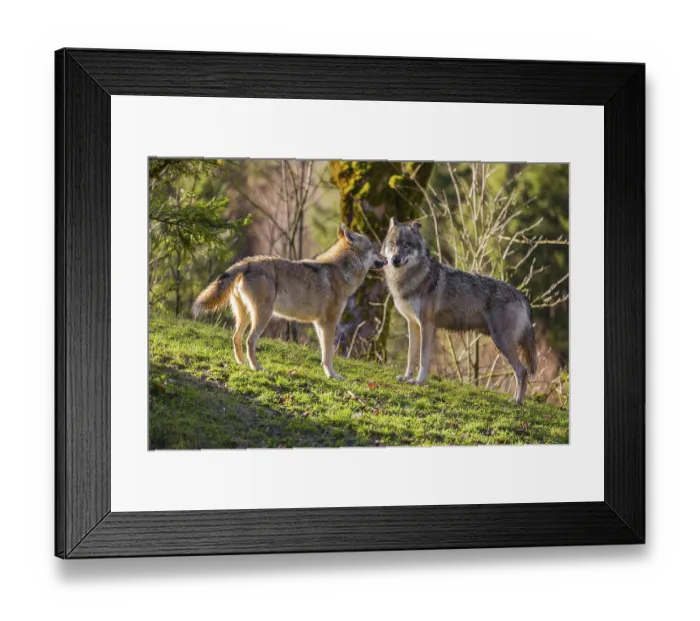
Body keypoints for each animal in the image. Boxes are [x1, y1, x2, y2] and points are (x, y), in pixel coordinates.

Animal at [192, 223, 386, 379]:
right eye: (374, 248)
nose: (387, 258)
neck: (342, 271)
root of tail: (247, 262)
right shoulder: (329, 323)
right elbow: (329, 354)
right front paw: (333, 375)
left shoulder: (319, 324)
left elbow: (323, 354)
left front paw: (327, 373)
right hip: (263, 316)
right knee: (250, 340)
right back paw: (256, 367)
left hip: (246, 316)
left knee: (236, 337)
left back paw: (242, 363)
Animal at [382, 219, 538, 404]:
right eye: (393, 244)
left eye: (407, 245)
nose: (395, 260)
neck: (410, 279)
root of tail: (522, 295)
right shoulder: (412, 324)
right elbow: (411, 357)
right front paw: (406, 378)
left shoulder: (427, 325)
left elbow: (423, 358)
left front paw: (419, 381)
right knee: (521, 370)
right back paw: (516, 399)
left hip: (502, 341)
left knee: (522, 370)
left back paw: (517, 402)